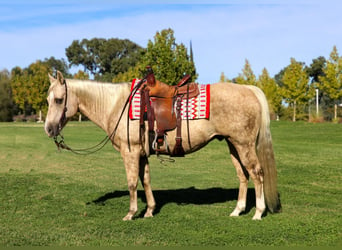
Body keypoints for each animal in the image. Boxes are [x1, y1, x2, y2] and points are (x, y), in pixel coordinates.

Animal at [44, 71, 280, 221]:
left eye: (58, 100)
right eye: (47, 100)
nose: (48, 128)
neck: (117, 105)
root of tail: (249, 89)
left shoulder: (130, 152)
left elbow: (132, 183)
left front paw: (131, 213)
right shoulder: (142, 154)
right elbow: (146, 180)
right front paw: (149, 210)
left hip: (244, 145)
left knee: (257, 173)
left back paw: (258, 212)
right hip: (233, 144)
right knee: (243, 175)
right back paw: (238, 210)